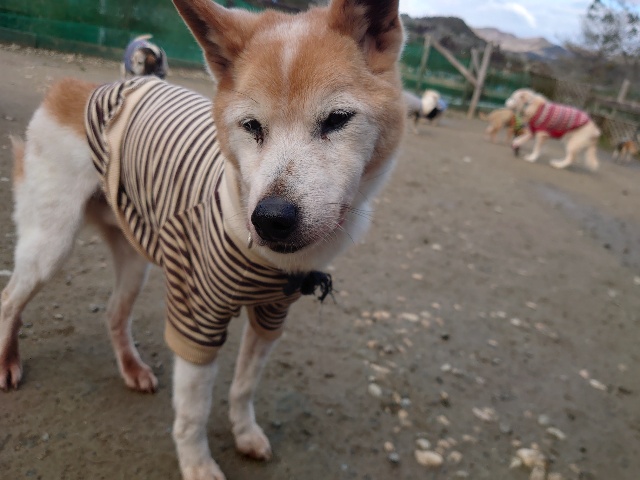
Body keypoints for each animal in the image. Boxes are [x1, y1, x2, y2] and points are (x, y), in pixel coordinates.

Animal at [0, 1, 405, 479]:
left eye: (337, 120)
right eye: (251, 126)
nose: (271, 219)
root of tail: (79, 87)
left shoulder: (271, 316)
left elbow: (244, 387)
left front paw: (245, 433)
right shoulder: (197, 318)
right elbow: (193, 412)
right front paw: (197, 465)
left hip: (133, 258)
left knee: (115, 315)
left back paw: (132, 369)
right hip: (50, 245)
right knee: (10, 301)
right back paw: (8, 362)